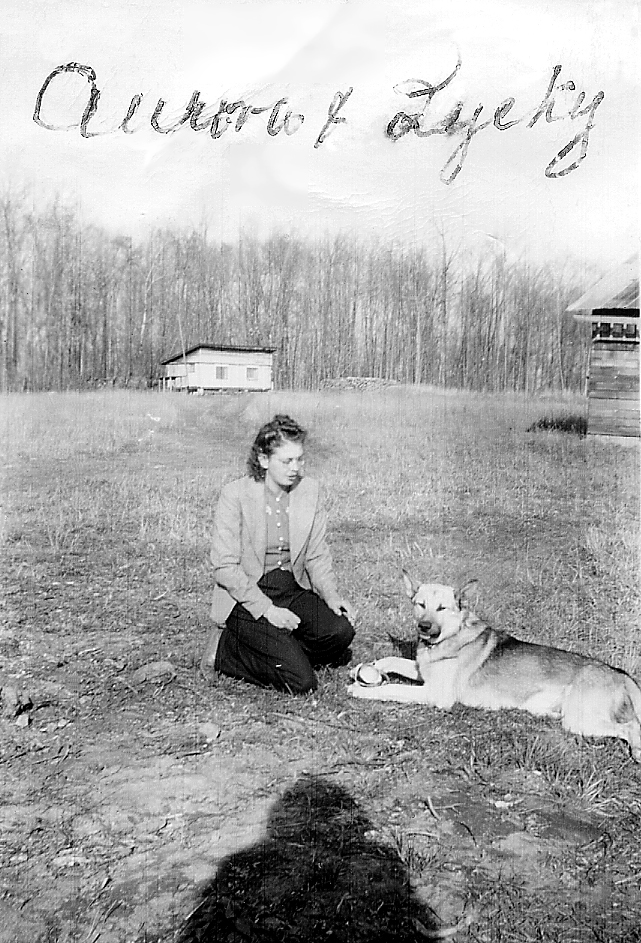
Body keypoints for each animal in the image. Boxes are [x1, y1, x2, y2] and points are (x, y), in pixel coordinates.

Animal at [348, 572, 640, 764]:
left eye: (442, 608)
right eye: (421, 605)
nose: (424, 627)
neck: (450, 637)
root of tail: (619, 674)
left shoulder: (435, 694)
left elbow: (392, 689)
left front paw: (362, 690)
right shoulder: (422, 670)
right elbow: (391, 661)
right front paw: (366, 670)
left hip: (580, 720)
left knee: (631, 727)